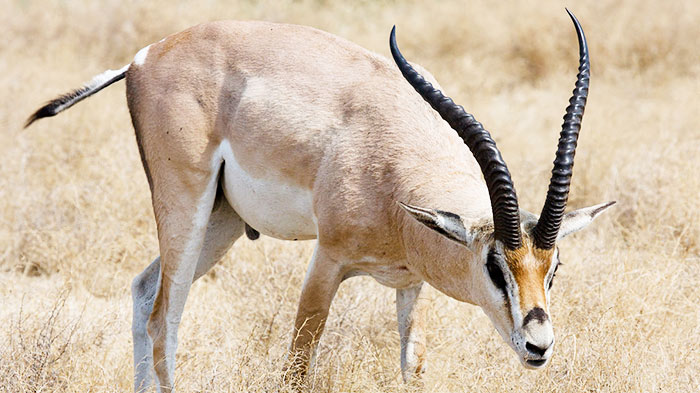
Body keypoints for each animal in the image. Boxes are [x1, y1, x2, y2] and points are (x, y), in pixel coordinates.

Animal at [24, 9, 612, 392]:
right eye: (495, 265)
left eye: (553, 266)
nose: (539, 345)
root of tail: (146, 55)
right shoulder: (326, 261)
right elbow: (298, 365)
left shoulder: (412, 283)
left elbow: (412, 367)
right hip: (185, 206)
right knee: (163, 319)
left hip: (222, 220)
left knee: (145, 289)